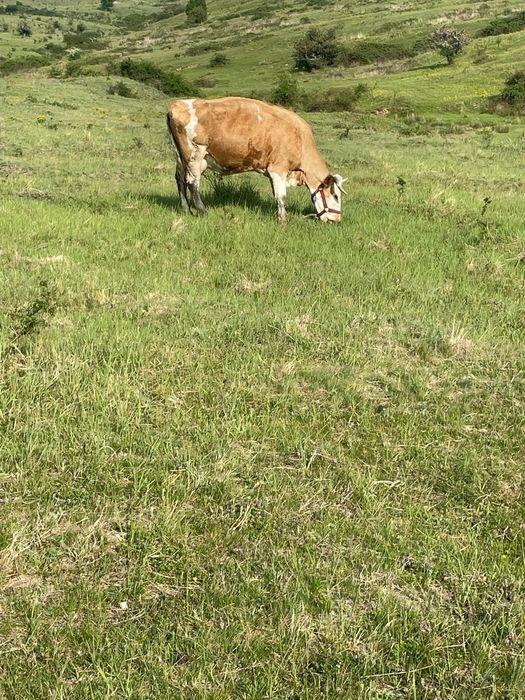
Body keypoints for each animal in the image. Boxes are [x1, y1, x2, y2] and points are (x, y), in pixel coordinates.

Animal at [166, 96, 347, 223]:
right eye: (335, 196)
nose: (337, 219)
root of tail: (178, 104)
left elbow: (276, 195)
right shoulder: (278, 169)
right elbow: (281, 196)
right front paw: (283, 220)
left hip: (181, 157)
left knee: (180, 180)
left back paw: (186, 209)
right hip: (195, 154)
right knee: (192, 183)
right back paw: (202, 211)